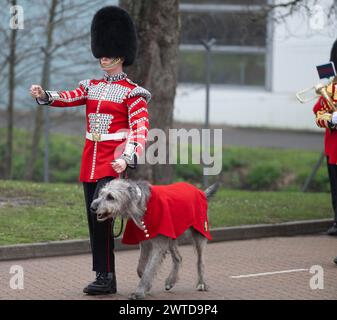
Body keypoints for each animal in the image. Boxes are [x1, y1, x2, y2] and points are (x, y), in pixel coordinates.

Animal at [90, 179, 218, 298]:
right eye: (101, 193)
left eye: (110, 197)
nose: (92, 207)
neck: (142, 205)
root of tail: (200, 191)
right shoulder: (145, 242)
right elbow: (141, 267)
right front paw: (147, 285)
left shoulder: (159, 244)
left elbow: (149, 268)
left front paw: (139, 292)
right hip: (171, 235)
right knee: (178, 258)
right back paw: (171, 281)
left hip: (200, 231)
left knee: (200, 260)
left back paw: (201, 283)